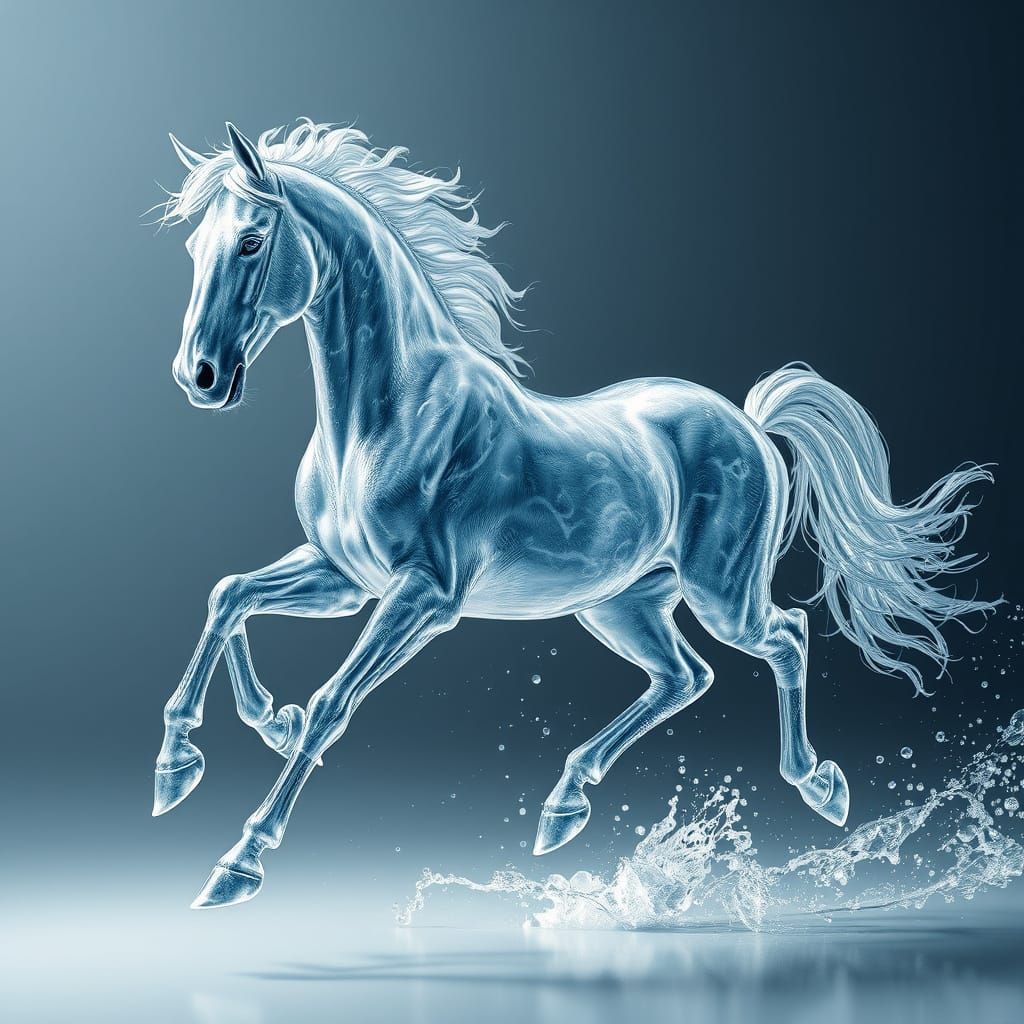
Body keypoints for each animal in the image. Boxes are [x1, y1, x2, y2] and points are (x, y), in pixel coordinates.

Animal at [153, 121, 997, 909]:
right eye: (193, 245)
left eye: (252, 240)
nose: (199, 376)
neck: (386, 418)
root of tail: (751, 423)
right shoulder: (343, 576)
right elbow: (229, 596)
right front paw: (199, 755)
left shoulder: (423, 596)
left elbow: (332, 702)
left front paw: (238, 861)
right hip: (620, 605)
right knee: (684, 676)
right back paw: (563, 807)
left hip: (722, 596)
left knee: (785, 637)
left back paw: (820, 784)